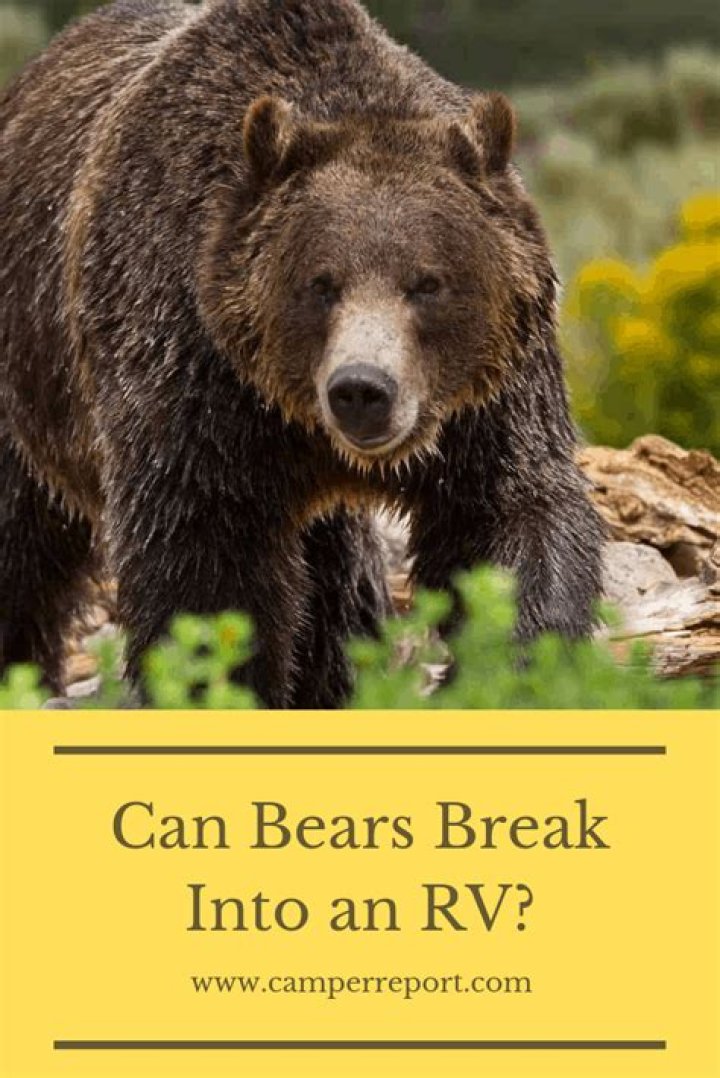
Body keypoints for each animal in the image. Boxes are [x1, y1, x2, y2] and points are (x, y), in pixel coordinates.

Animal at [0, 0, 604, 707]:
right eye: (321, 284)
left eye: (427, 283)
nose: (362, 390)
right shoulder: (192, 375)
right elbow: (206, 566)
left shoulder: (489, 397)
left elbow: (505, 520)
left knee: (334, 581)